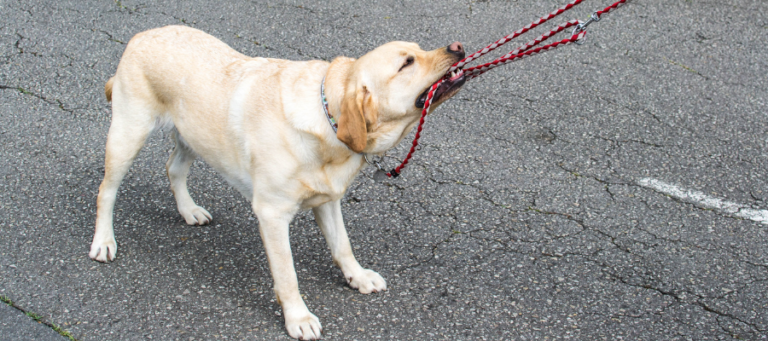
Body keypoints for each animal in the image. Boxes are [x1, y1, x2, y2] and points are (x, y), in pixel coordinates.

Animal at [89, 25, 462, 338]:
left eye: (418, 48)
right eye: (407, 63)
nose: (457, 47)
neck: (327, 118)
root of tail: (141, 35)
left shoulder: (328, 200)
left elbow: (342, 245)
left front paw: (357, 276)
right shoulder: (271, 214)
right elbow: (287, 275)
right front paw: (298, 318)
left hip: (192, 136)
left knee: (174, 169)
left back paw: (188, 210)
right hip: (128, 134)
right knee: (106, 191)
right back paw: (104, 241)